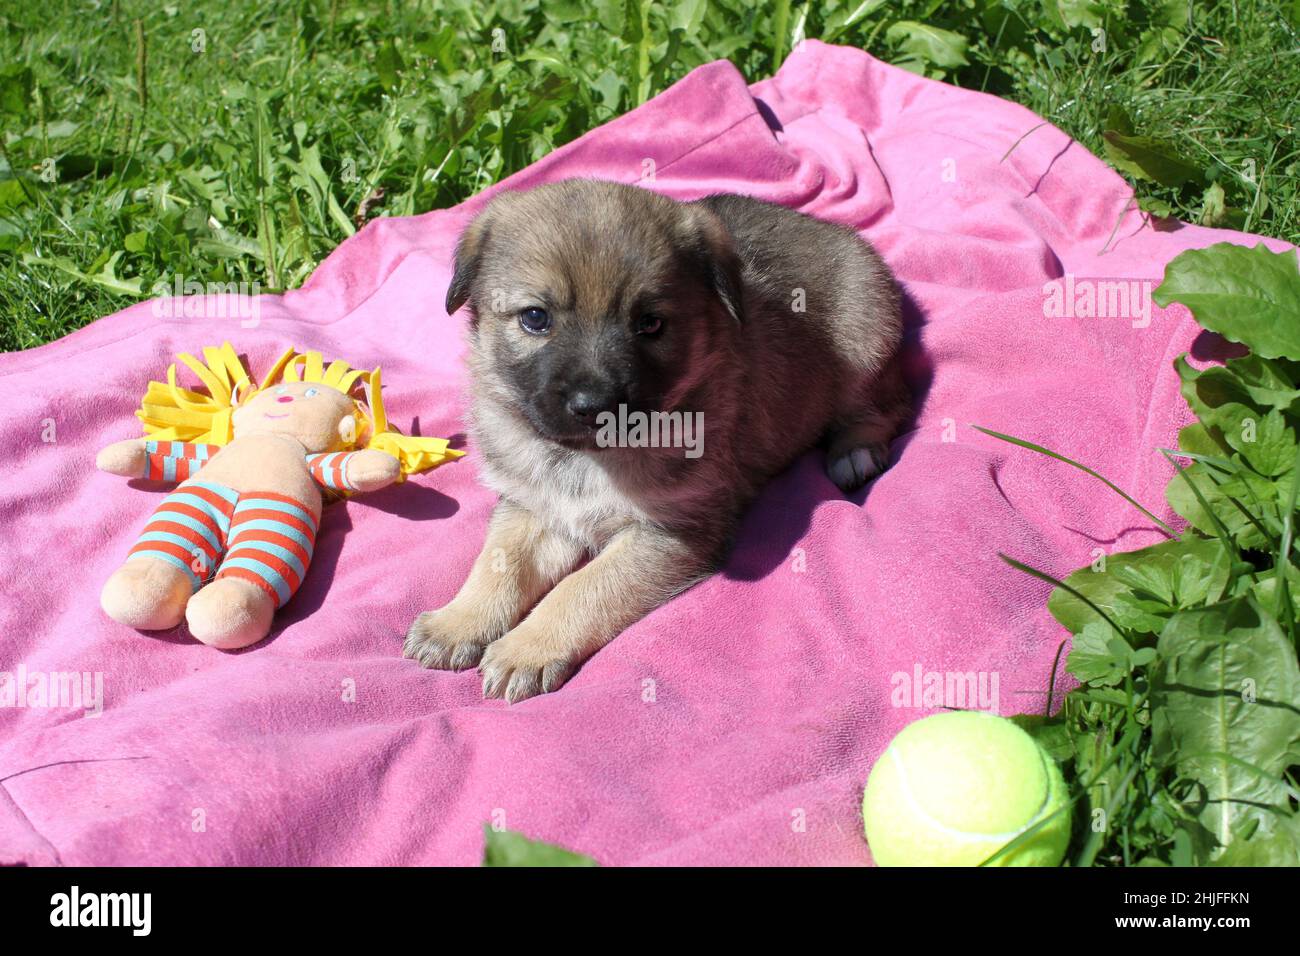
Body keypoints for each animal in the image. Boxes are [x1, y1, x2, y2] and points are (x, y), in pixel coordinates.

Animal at [403, 179, 904, 702]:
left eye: (649, 323)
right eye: (535, 318)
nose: (594, 405)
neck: (586, 460)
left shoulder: (668, 531)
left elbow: (584, 588)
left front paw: (528, 647)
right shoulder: (533, 506)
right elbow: (499, 563)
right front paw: (459, 621)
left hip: (863, 344)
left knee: (888, 403)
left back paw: (855, 452)